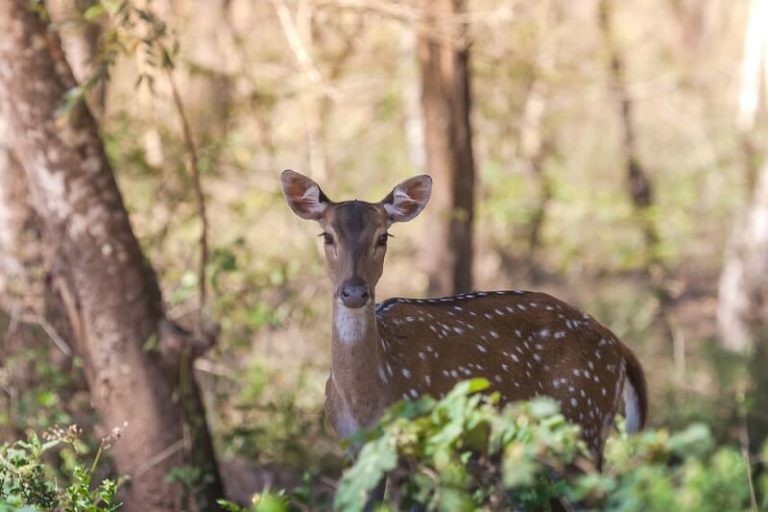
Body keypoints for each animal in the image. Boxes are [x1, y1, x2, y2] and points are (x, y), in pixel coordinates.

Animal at [280, 169, 647, 466]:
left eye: (383, 236)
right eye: (327, 235)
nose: (354, 292)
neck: (366, 400)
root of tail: (619, 345)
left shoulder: (424, 435)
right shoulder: (353, 447)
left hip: (583, 414)